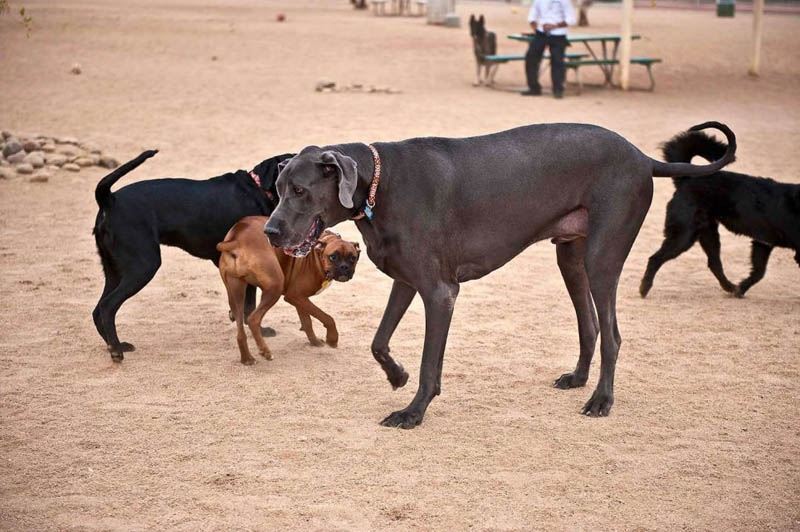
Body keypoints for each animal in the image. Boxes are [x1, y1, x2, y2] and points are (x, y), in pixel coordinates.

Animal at [91, 149, 294, 362]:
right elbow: (250, 306)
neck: (257, 189)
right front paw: (262, 331)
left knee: (98, 309)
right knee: (107, 306)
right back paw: (116, 349)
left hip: (114, 270)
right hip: (143, 266)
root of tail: (109, 200)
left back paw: (115, 345)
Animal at [216, 214, 360, 364]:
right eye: (333, 257)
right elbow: (326, 317)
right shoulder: (295, 296)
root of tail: (237, 238)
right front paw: (332, 339)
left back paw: (247, 358)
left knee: (240, 330)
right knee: (253, 319)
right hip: (274, 288)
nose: (344, 267)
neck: (316, 251)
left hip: (236, 293)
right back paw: (265, 351)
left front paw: (314, 342)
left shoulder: (299, 298)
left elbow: (307, 321)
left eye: (353, 258)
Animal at [636, 130, 800, 298]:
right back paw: (644, 288)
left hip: (707, 233)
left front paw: (741, 289)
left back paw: (730, 287)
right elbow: (759, 272)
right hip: (683, 236)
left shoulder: (763, 243)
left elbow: (758, 272)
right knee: (655, 258)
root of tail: (687, 179)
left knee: (714, 263)